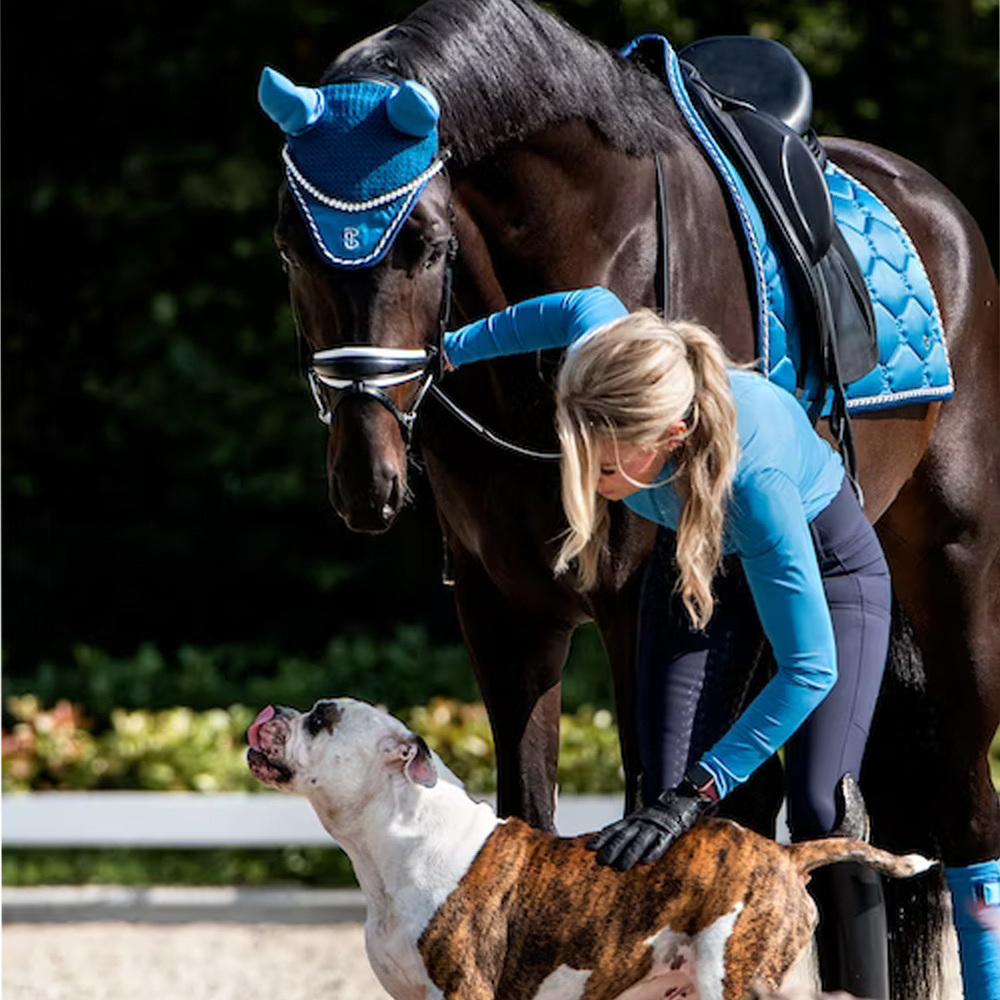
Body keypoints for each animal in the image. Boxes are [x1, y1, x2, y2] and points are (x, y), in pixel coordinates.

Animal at [265, 1, 999, 994]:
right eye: (288, 247)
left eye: (426, 245)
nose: (366, 481)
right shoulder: (505, 615)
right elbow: (530, 813)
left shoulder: (637, 607)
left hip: (954, 579)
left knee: (944, 821)